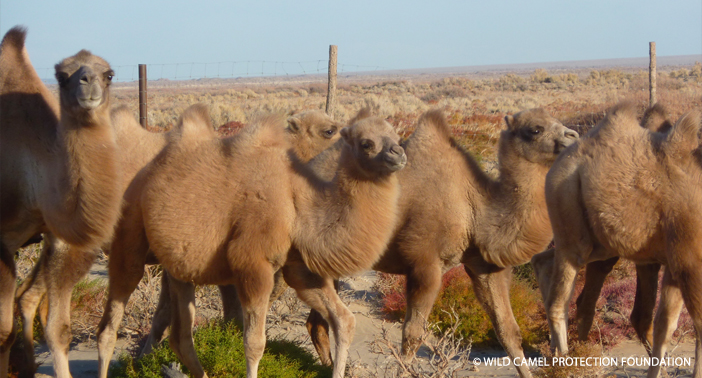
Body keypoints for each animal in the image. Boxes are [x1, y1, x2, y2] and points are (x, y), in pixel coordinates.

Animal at [0, 27, 122, 378]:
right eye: (61, 75)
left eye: (109, 74)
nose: (88, 82)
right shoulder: (1, 239)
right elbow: (3, 331)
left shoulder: (60, 236)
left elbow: (58, 330)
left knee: (27, 298)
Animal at [95, 105, 404, 378]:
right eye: (366, 143)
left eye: (395, 134)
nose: (399, 153)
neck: (296, 203)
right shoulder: (252, 263)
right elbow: (254, 343)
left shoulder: (298, 268)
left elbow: (344, 320)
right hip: (128, 236)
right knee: (108, 327)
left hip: (178, 266)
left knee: (180, 336)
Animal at [300, 108, 580, 376]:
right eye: (535, 129)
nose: (573, 136)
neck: (474, 208)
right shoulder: (424, 264)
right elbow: (412, 335)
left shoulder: (483, 265)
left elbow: (509, 332)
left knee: (317, 322)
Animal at [532, 102, 702, 378]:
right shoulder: (688, 259)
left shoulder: (675, 261)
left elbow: (665, 323)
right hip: (567, 214)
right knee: (559, 301)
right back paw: (565, 362)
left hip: (601, 245)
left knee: (545, 263)